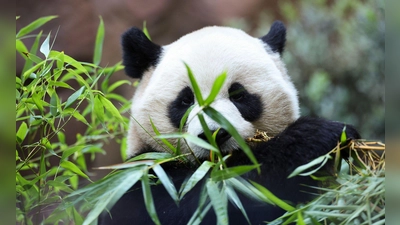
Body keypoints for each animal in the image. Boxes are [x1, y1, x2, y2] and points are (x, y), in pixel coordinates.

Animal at [99, 20, 360, 223]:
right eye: (185, 100)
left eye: (238, 95)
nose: (214, 134)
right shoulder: (138, 177)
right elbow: (200, 198)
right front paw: (319, 135)